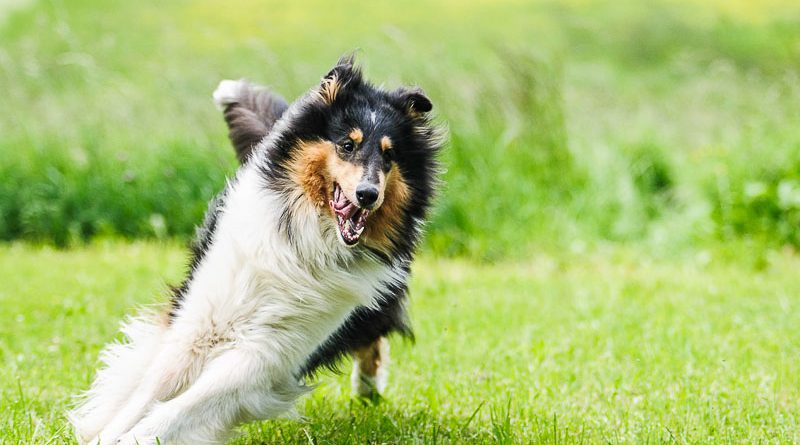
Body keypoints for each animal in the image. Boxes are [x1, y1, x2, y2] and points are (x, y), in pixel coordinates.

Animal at [69, 56, 444, 444]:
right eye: (347, 145)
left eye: (389, 155)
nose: (368, 195)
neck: (305, 243)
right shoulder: (201, 323)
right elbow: (151, 389)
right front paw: (104, 434)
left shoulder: (267, 354)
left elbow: (182, 406)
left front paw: (137, 437)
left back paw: (368, 389)